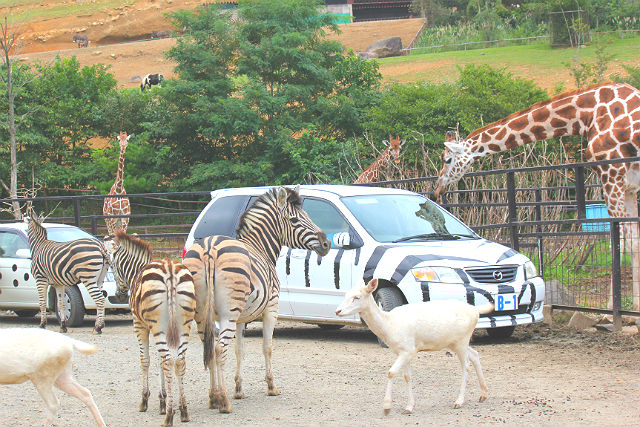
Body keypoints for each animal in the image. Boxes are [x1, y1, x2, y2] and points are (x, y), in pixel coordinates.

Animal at [112, 232, 196, 427]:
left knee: (168, 361)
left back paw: (170, 416)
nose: (119, 295)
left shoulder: (140, 324)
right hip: (184, 324)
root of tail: (169, 267)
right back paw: (183, 410)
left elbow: (146, 360)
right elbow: (159, 362)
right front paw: (163, 400)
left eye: (112, 264)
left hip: (157, 325)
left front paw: (146, 400)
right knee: (179, 362)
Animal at [180, 186, 330, 412]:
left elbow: (239, 350)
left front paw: (239, 389)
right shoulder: (271, 308)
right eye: (295, 220)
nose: (327, 243)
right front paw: (271, 386)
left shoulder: (242, 318)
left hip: (201, 313)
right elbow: (267, 347)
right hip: (228, 312)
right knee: (219, 348)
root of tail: (209, 249)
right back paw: (223, 400)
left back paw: (213, 397)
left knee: (210, 348)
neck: (261, 247)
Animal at [432, 83, 640, 310]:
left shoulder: (611, 175)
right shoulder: (629, 186)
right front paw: (635, 305)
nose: (437, 189)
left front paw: (612, 308)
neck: (587, 115)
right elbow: (633, 242)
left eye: (447, 159)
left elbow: (618, 242)